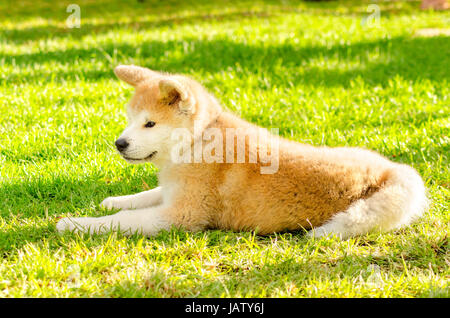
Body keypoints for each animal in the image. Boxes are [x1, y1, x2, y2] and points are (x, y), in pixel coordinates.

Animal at [54, 65, 428, 238]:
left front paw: (76, 223)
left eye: (149, 124)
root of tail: (391, 172)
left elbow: (122, 221)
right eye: (130, 120)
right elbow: (144, 197)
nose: (120, 143)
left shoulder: (183, 214)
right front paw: (114, 200)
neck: (199, 142)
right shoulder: (174, 192)